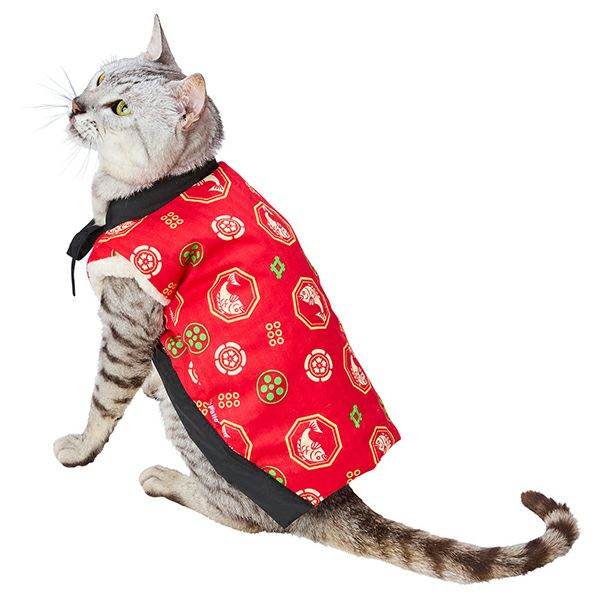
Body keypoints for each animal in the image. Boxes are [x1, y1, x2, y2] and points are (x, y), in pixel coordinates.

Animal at [54, 15, 579, 583]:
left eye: (120, 109)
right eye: (100, 80)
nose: (77, 104)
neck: (141, 194)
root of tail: (335, 498)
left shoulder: (127, 325)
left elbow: (104, 400)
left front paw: (80, 447)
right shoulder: (145, 333)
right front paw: (151, 381)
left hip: (194, 427)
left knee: (249, 518)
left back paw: (167, 479)